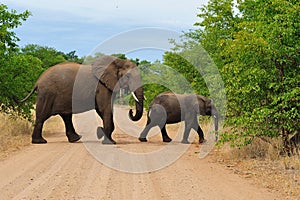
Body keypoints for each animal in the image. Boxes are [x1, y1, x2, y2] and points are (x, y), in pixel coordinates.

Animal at [16, 55, 144, 145]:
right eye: (128, 76)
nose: (131, 111)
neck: (118, 62)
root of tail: (38, 81)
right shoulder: (101, 86)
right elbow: (105, 109)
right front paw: (110, 143)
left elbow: (103, 110)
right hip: (47, 94)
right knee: (42, 115)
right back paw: (40, 142)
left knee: (66, 116)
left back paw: (75, 139)